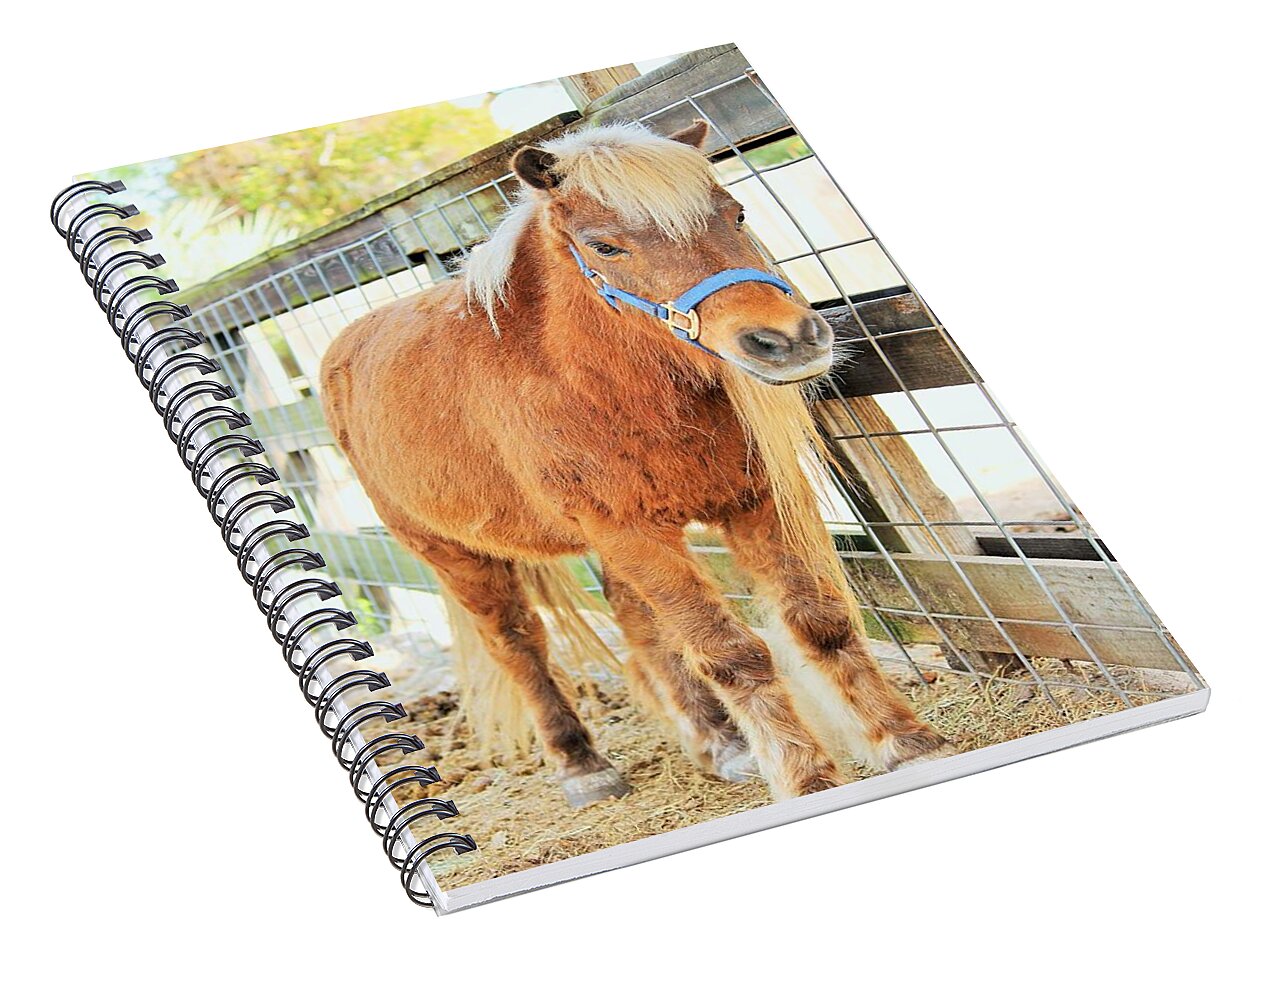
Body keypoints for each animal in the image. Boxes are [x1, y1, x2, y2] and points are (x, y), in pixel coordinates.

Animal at [320, 119, 949, 807]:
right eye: (605, 247)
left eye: (735, 213)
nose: (787, 340)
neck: (596, 380)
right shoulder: (630, 529)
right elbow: (730, 652)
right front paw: (806, 777)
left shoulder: (751, 503)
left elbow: (821, 622)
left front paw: (906, 744)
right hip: (454, 553)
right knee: (518, 642)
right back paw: (581, 765)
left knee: (635, 619)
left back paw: (717, 741)